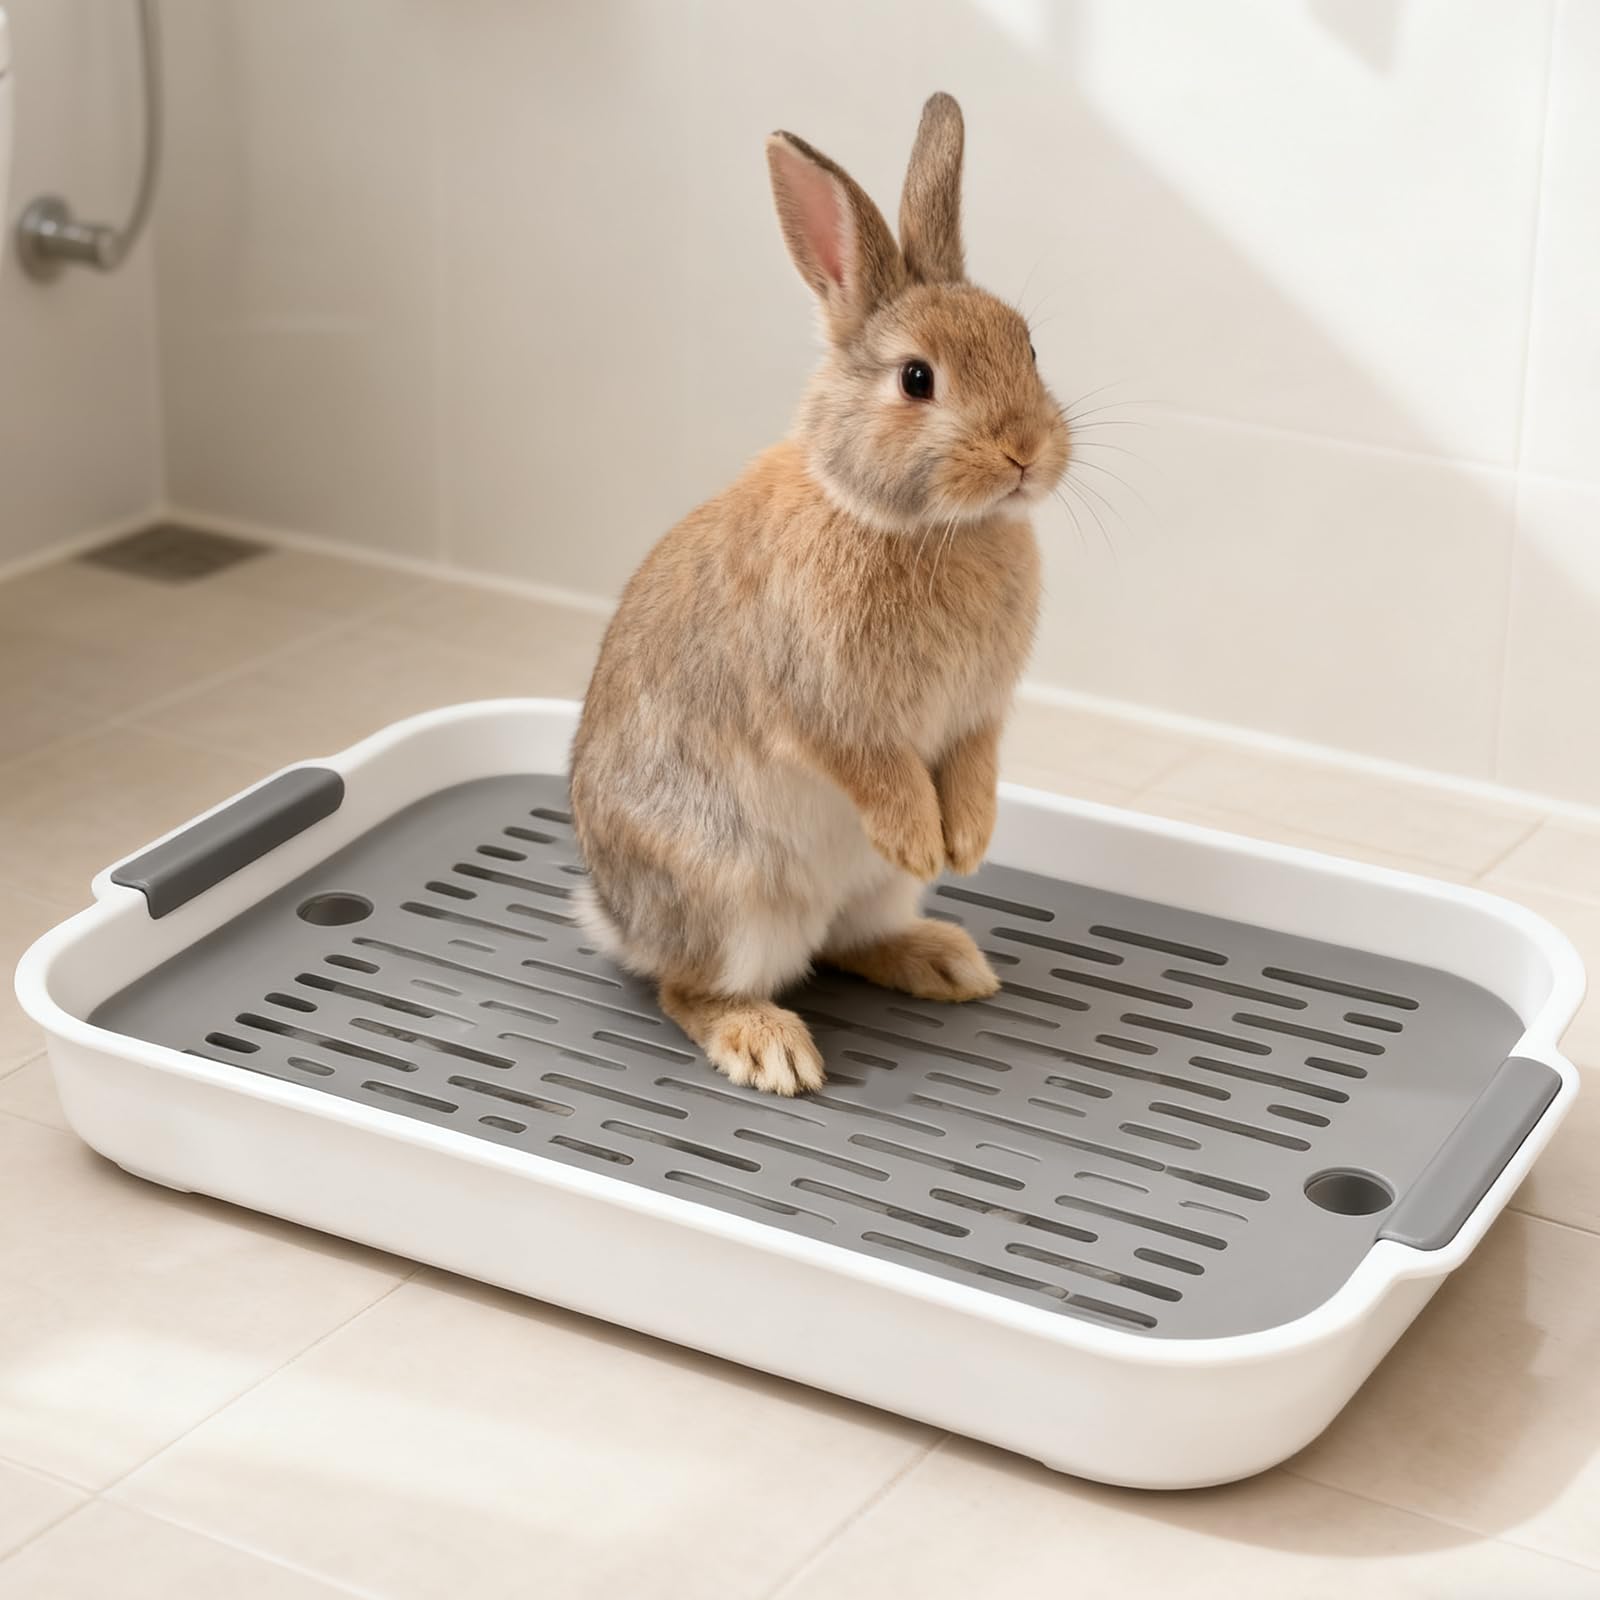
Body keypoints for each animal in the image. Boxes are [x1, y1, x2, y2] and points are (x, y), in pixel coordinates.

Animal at [570, 91, 1070, 1096]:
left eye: (1028, 345)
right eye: (917, 379)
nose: (1025, 452)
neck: (918, 526)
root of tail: (617, 916)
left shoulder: (978, 717)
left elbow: (973, 766)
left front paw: (966, 843)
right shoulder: (826, 709)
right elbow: (875, 769)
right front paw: (922, 836)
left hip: (863, 895)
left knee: (846, 943)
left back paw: (947, 960)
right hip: (730, 897)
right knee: (692, 989)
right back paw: (770, 1046)